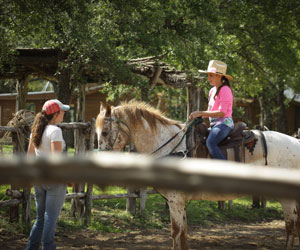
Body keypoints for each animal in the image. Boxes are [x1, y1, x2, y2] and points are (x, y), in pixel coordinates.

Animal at [95, 100, 300, 250]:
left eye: (104, 132)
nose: (102, 161)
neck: (169, 146)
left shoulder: (176, 200)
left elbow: (175, 232)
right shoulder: (179, 202)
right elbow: (183, 233)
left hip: (287, 198)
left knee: (291, 228)